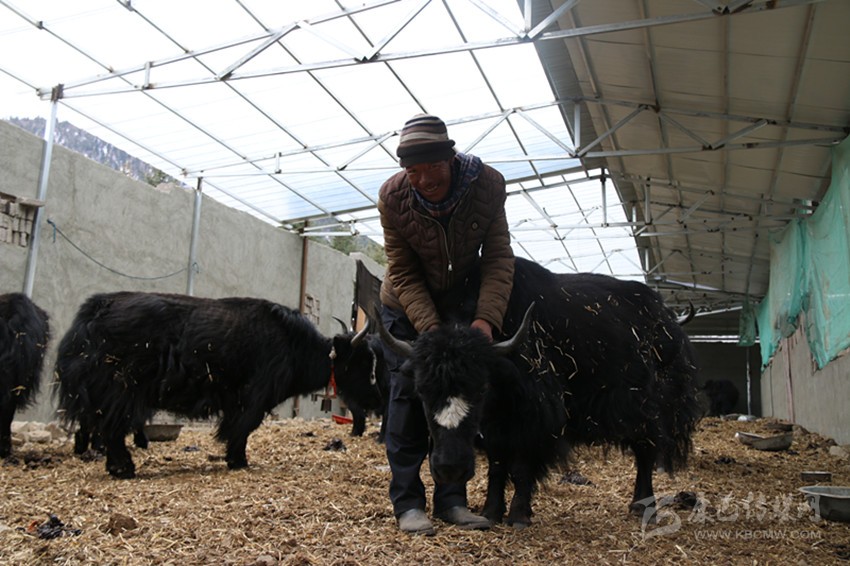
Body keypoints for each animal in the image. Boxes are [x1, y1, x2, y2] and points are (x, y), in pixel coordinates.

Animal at [54, 291, 377, 478]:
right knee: (112, 428)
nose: (376, 396)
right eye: (362, 361)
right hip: (121, 388)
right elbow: (243, 428)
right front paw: (239, 460)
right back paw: (124, 468)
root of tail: (95, 311)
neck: (295, 344)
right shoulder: (254, 397)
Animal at [377, 257, 701, 528]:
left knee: (645, 451)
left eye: (481, 388)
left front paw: (519, 516)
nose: (450, 468)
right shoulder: (496, 425)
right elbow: (497, 465)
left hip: (646, 405)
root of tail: (668, 319)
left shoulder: (533, 418)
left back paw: (642, 506)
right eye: (421, 390)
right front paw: (490, 512)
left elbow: (522, 466)